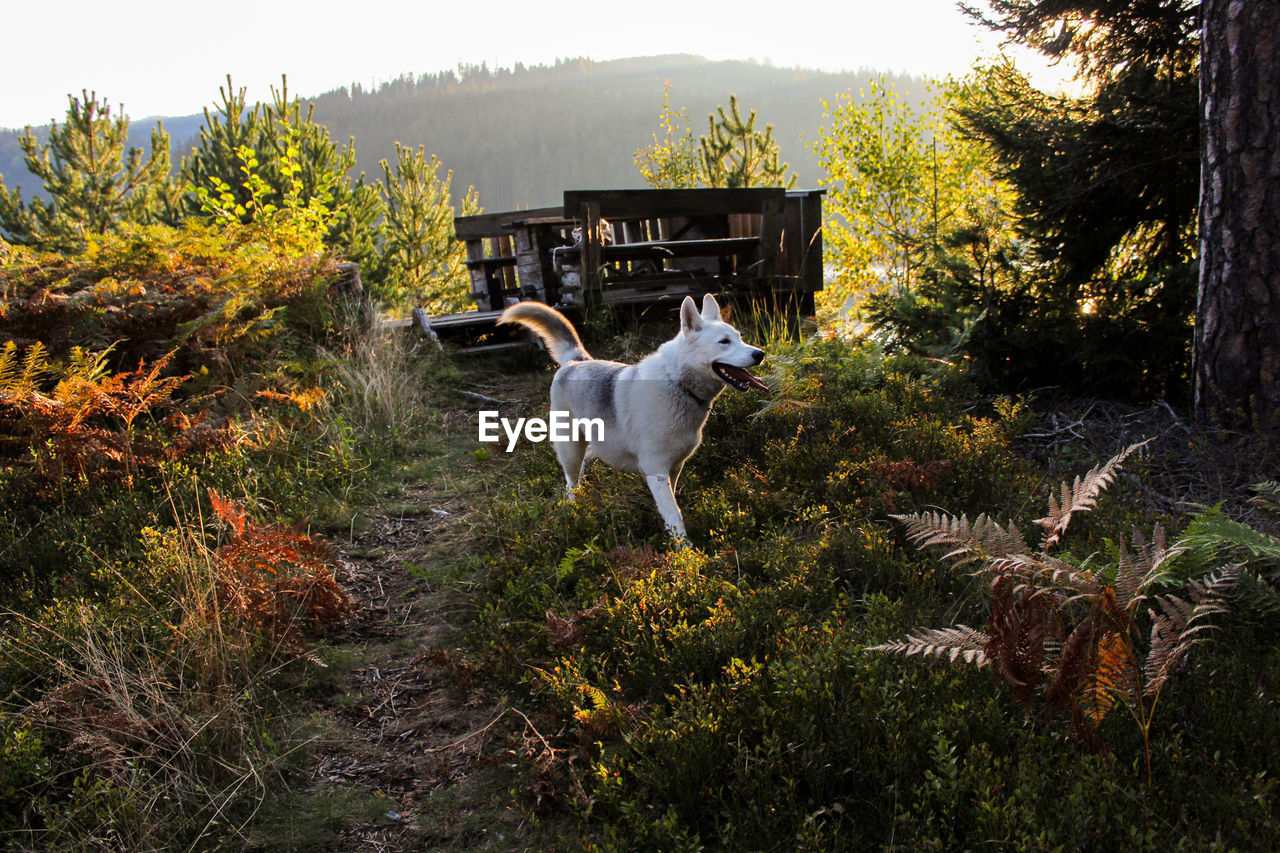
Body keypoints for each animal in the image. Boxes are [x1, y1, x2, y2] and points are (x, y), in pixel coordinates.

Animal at [494, 294, 762, 537]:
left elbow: (671, 502)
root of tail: (575, 360)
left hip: (596, 443)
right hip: (569, 447)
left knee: (586, 460)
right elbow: (674, 514)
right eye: (724, 342)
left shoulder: (674, 467)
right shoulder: (656, 470)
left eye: (739, 337)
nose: (760, 354)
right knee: (571, 481)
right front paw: (684, 551)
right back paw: (574, 508)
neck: (677, 385)